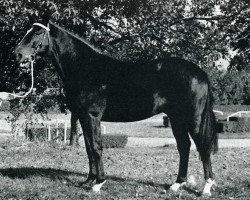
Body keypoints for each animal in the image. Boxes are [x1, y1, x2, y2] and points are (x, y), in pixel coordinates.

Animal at [14, 19, 217, 195]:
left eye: (37, 31)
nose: (18, 54)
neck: (86, 68)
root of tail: (200, 72)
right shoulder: (83, 117)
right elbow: (89, 148)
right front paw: (88, 180)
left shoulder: (92, 116)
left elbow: (96, 147)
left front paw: (98, 183)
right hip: (176, 119)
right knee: (184, 146)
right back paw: (176, 185)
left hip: (193, 119)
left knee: (202, 147)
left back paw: (206, 187)